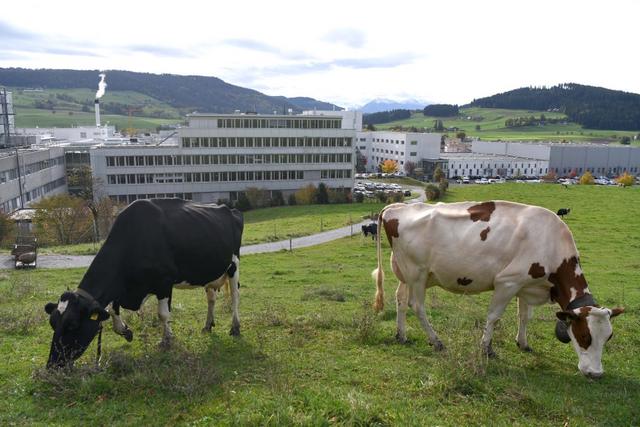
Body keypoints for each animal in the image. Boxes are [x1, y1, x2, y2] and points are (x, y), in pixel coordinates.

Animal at [42, 199, 242, 370]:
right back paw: (208, 326)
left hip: (233, 266)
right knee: (211, 298)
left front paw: (166, 340)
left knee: (234, 297)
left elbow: (162, 314)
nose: (52, 365)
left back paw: (235, 328)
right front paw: (125, 331)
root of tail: (228, 209)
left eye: (73, 325)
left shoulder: (164, 283)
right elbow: (112, 310)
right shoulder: (124, 288)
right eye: (52, 323)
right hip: (211, 272)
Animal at [372, 201, 624, 378]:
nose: (596, 374)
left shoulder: (525, 285)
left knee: (400, 300)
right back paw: (436, 341)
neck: (551, 244)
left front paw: (523, 343)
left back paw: (401, 335)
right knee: (417, 306)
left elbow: (524, 316)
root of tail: (398, 207)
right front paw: (486, 349)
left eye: (608, 337)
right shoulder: (507, 281)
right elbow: (493, 316)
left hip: (407, 274)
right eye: (584, 336)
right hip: (417, 273)